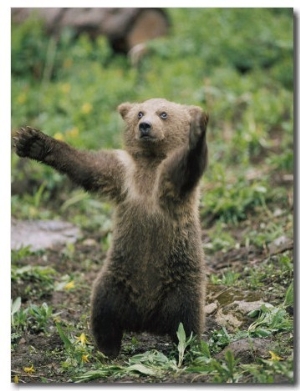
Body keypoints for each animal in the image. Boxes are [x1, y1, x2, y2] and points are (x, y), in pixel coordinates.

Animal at [13, 97, 209, 358]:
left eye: (163, 113)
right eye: (139, 113)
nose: (145, 126)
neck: (149, 163)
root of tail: (147, 320)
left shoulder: (168, 184)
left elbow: (187, 167)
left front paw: (198, 134)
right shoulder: (122, 174)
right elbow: (87, 167)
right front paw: (31, 141)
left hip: (180, 283)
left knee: (186, 322)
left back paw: (188, 349)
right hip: (116, 281)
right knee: (104, 313)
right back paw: (108, 348)